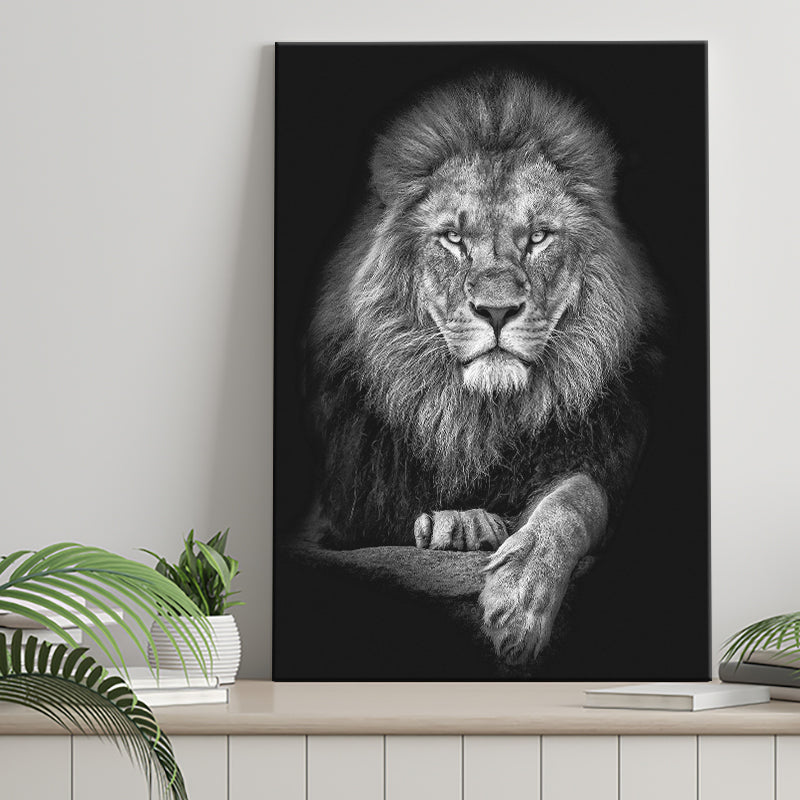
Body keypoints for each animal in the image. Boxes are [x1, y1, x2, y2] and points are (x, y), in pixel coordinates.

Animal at [303, 70, 666, 665]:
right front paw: (462, 521)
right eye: (453, 238)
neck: (480, 416)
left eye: (538, 237)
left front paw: (521, 598)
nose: (496, 311)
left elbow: (575, 499)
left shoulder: (604, 460)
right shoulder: (336, 512)